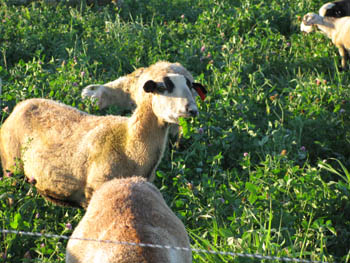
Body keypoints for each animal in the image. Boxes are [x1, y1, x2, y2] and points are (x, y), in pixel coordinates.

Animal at [0, 68, 205, 210]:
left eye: (191, 87)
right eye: (163, 88)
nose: (192, 110)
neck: (130, 144)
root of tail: (20, 105)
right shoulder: (94, 191)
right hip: (11, 166)